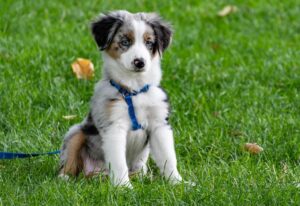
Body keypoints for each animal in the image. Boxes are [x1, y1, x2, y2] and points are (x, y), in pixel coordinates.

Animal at [57, 10, 182, 188]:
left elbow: (168, 157)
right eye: (125, 41)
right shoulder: (114, 127)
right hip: (76, 132)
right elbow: (118, 162)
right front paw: (124, 187)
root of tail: (96, 174)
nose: (139, 62)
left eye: (149, 43)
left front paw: (178, 183)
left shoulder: (159, 125)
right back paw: (65, 178)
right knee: (70, 159)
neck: (134, 90)